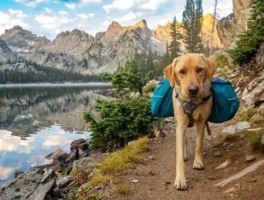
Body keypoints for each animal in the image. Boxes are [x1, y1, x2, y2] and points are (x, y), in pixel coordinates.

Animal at [165, 53, 214, 191]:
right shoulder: (181, 125)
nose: (193, 89)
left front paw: (198, 162)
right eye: (182, 71)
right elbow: (179, 155)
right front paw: (180, 180)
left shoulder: (201, 122)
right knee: (184, 140)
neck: (191, 103)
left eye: (200, 69)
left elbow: (199, 144)